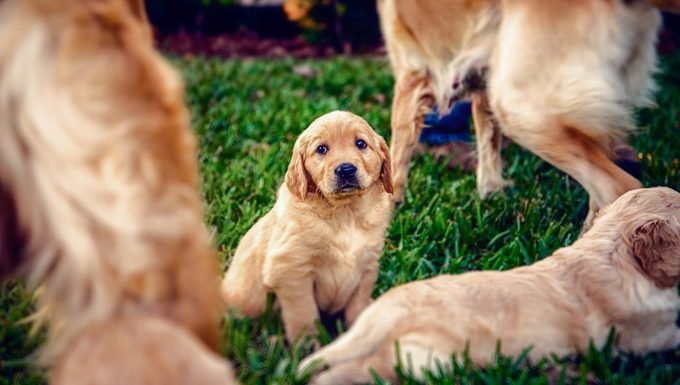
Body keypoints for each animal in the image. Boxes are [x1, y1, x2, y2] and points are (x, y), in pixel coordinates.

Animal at [222, 110, 394, 342]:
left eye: (361, 143)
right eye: (321, 149)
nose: (346, 169)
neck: (345, 213)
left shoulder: (368, 266)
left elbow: (357, 307)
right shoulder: (290, 268)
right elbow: (303, 313)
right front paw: (307, 345)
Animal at [380, 0, 672, 230]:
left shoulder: (411, 80)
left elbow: (395, 163)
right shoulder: (482, 85)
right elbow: (488, 152)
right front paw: (491, 195)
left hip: (520, 107)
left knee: (619, 186)